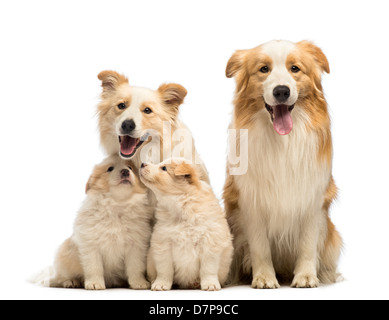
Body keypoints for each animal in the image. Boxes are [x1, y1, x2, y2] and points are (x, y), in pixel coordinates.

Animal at [47, 154, 152, 290]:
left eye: (130, 168)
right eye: (110, 168)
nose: (125, 171)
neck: (117, 204)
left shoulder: (136, 245)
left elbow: (135, 267)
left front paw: (139, 283)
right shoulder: (91, 245)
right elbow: (94, 267)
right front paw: (95, 283)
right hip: (64, 257)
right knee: (59, 277)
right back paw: (71, 282)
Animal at [140, 159, 233, 292]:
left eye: (164, 168)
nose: (142, 164)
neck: (182, 207)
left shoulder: (209, 244)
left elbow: (208, 268)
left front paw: (210, 284)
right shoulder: (163, 244)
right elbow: (165, 270)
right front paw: (161, 284)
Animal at [223, 39, 342, 288]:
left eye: (294, 68)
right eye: (263, 69)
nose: (281, 91)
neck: (282, 140)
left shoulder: (312, 199)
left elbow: (307, 244)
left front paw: (306, 276)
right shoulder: (252, 202)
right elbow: (260, 247)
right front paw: (264, 277)